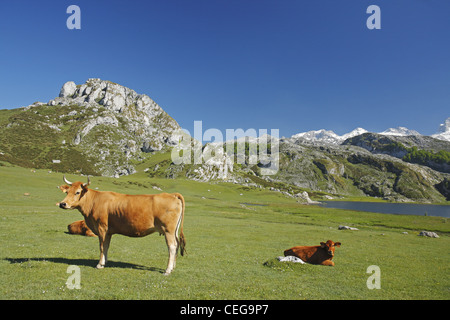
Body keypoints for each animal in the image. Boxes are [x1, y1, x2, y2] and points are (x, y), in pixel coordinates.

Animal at [56, 175, 186, 276]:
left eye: (77, 192)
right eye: (67, 192)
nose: (63, 204)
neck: (94, 201)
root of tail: (172, 195)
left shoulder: (102, 228)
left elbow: (102, 246)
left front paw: (99, 264)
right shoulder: (108, 231)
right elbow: (106, 246)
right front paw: (104, 262)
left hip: (168, 230)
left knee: (172, 247)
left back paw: (167, 270)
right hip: (174, 231)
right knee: (177, 244)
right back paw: (173, 268)